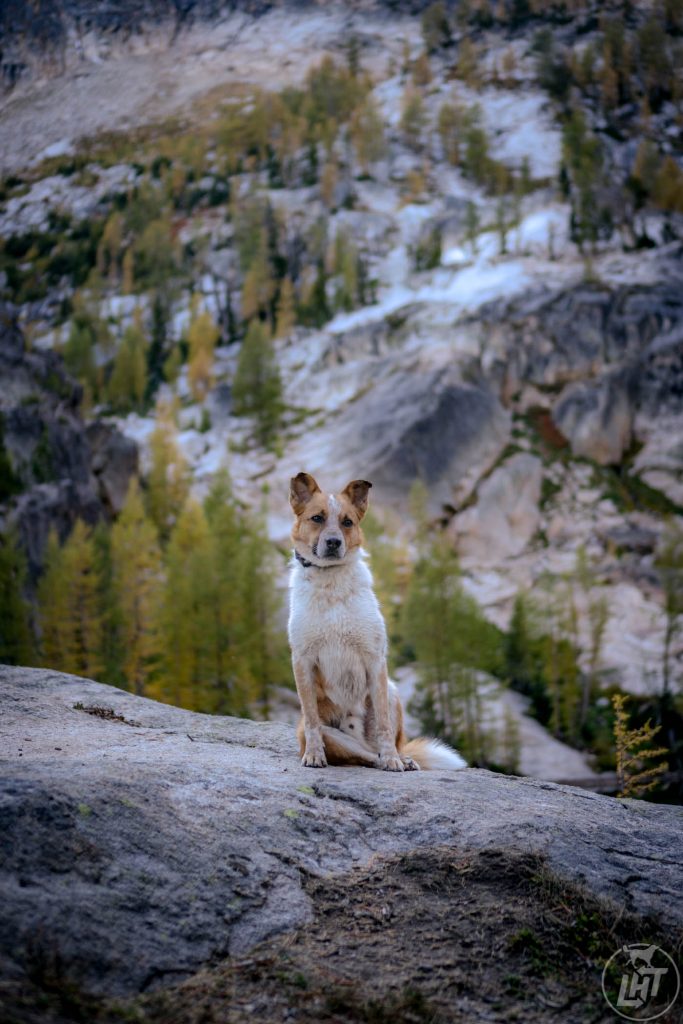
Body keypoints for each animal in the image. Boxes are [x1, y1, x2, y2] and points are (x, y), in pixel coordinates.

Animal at [286, 468, 466, 770]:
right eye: (317, 518)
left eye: (347, 522)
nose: (334, 542)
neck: (330, 582)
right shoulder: (302, 659)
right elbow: (311, 718)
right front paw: (313, 755)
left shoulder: (374, 659)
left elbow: (383, 723)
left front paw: (393, 759)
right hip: (330, 734)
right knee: (361, 754)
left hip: (391, 690)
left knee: (381, 746)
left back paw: (400, 759)